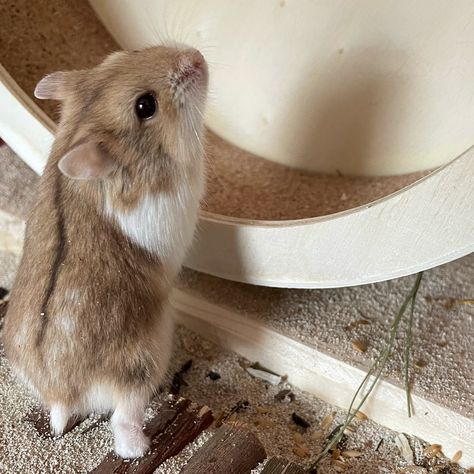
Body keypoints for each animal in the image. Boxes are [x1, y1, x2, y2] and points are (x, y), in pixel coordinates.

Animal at [2, 46, 208, 458]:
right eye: (145, 106)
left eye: (123, 53)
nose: (197, 57)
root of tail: (61, 394)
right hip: (143, 364)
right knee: (123, 415)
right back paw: (140, 447)